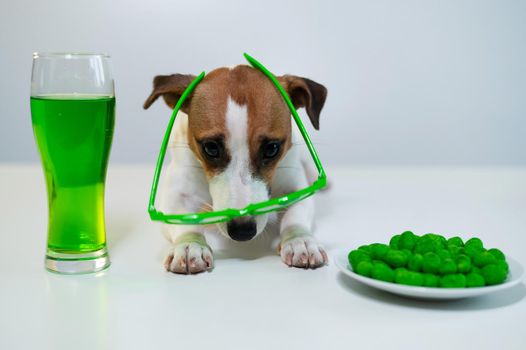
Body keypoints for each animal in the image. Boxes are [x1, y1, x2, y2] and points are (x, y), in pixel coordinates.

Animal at [142, 63, 328, 274]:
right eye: (210, 148)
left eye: (272, 149)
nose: (242, 230)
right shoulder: (176, 195)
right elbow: (183, 221)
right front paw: (190, 244)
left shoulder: (295, 185)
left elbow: (296, 214)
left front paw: (300, 239)